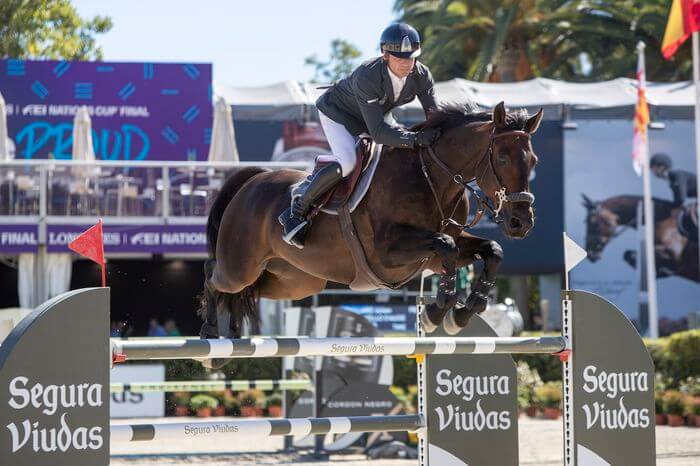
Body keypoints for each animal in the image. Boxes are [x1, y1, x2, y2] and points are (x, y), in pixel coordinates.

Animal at [200, 104, 544, 366]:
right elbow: (445, 246)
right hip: (240, 267)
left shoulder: (433, 257)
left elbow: (492, 250)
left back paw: (229, 342)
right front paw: (435, 312)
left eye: (533, 160)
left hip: (294, 281)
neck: (432, 178)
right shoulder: (387, 254)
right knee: (214, 277)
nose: (521, 223)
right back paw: (210, 336)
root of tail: (252, 180)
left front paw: (461, 313)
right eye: (501, 158)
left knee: (247, 293)